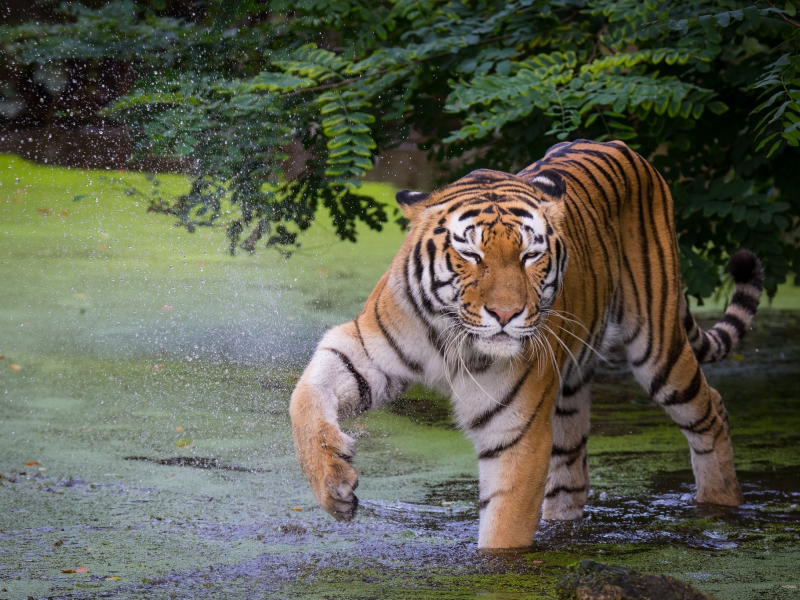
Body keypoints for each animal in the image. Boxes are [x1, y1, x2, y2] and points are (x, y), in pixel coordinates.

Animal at [288, 139, 764, 548]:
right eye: (471, 255)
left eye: (531, 256)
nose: (505, 314)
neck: (450, 336)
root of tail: (619, 144)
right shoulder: (366, 350)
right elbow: (304, 395)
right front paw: (333, 483)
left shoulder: (514, 430)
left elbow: (504, 529)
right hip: (571, 390)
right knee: (573, 473)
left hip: (658, 345)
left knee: (711, 409)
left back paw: (721, 504)